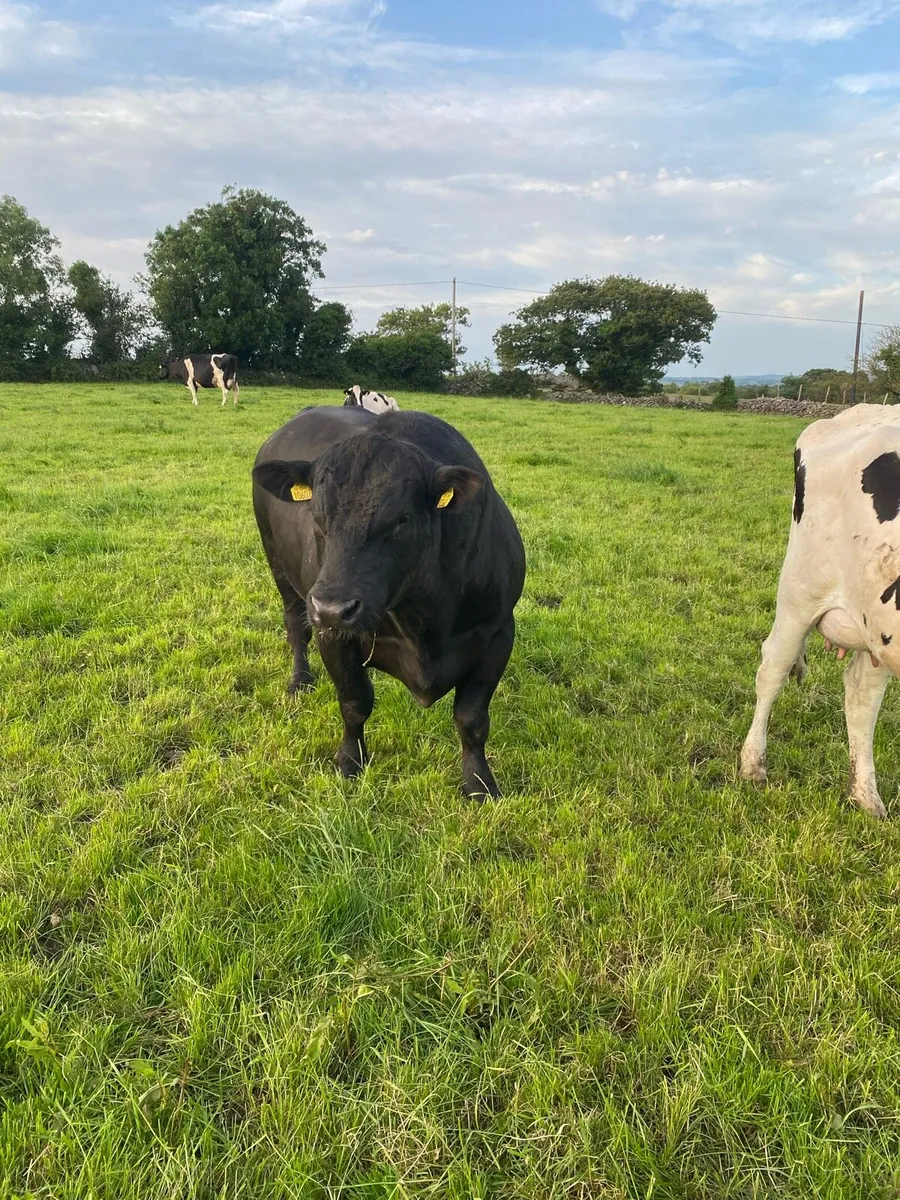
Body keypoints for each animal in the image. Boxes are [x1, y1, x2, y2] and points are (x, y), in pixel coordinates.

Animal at [252, 405, 525, 798]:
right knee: (295, 627)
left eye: (402, 519)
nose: (332, 608)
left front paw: (479, 782)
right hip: (280, 569)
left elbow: (471, 719)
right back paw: (300, 680)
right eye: (317, 517)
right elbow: (354, 702)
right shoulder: (332, 636)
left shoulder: (497, 633)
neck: (423, 625)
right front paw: (350, 761)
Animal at [741, 404, 900, 817]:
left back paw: (866, 798)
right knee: (772, 669)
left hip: (876, 623)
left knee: (861, 694)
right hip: (801, 589)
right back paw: (752, 766)